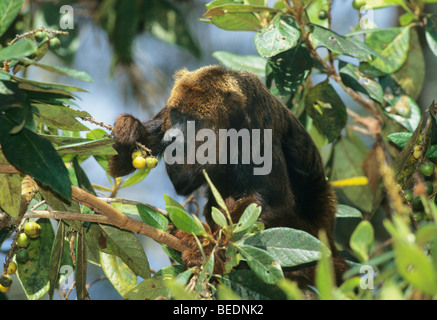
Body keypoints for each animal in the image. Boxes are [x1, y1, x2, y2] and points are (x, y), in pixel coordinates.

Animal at [109, 65, 348, 284]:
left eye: (193, 121)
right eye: (176, 115)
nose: (174, 136)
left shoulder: (260, 126)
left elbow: (273, 202)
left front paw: (210, 250)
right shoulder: (167, 113)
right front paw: (130, 130)